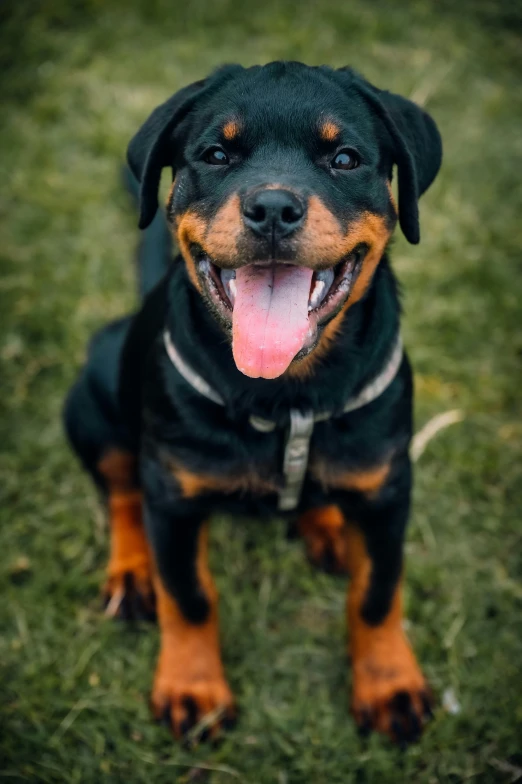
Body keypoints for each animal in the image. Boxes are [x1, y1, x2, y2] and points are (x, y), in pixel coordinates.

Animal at [64, 61, 438, 748]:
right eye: (216, 154)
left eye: (345, 158)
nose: (271, 208)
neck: (284, 391)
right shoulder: (174, 495)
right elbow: (188, 596)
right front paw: (192, 688)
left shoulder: (387, 488)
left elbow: (377, 593)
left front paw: (389, 686)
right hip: (94, 395)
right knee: (121, 489)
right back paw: (132, 573)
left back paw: (326, 527)